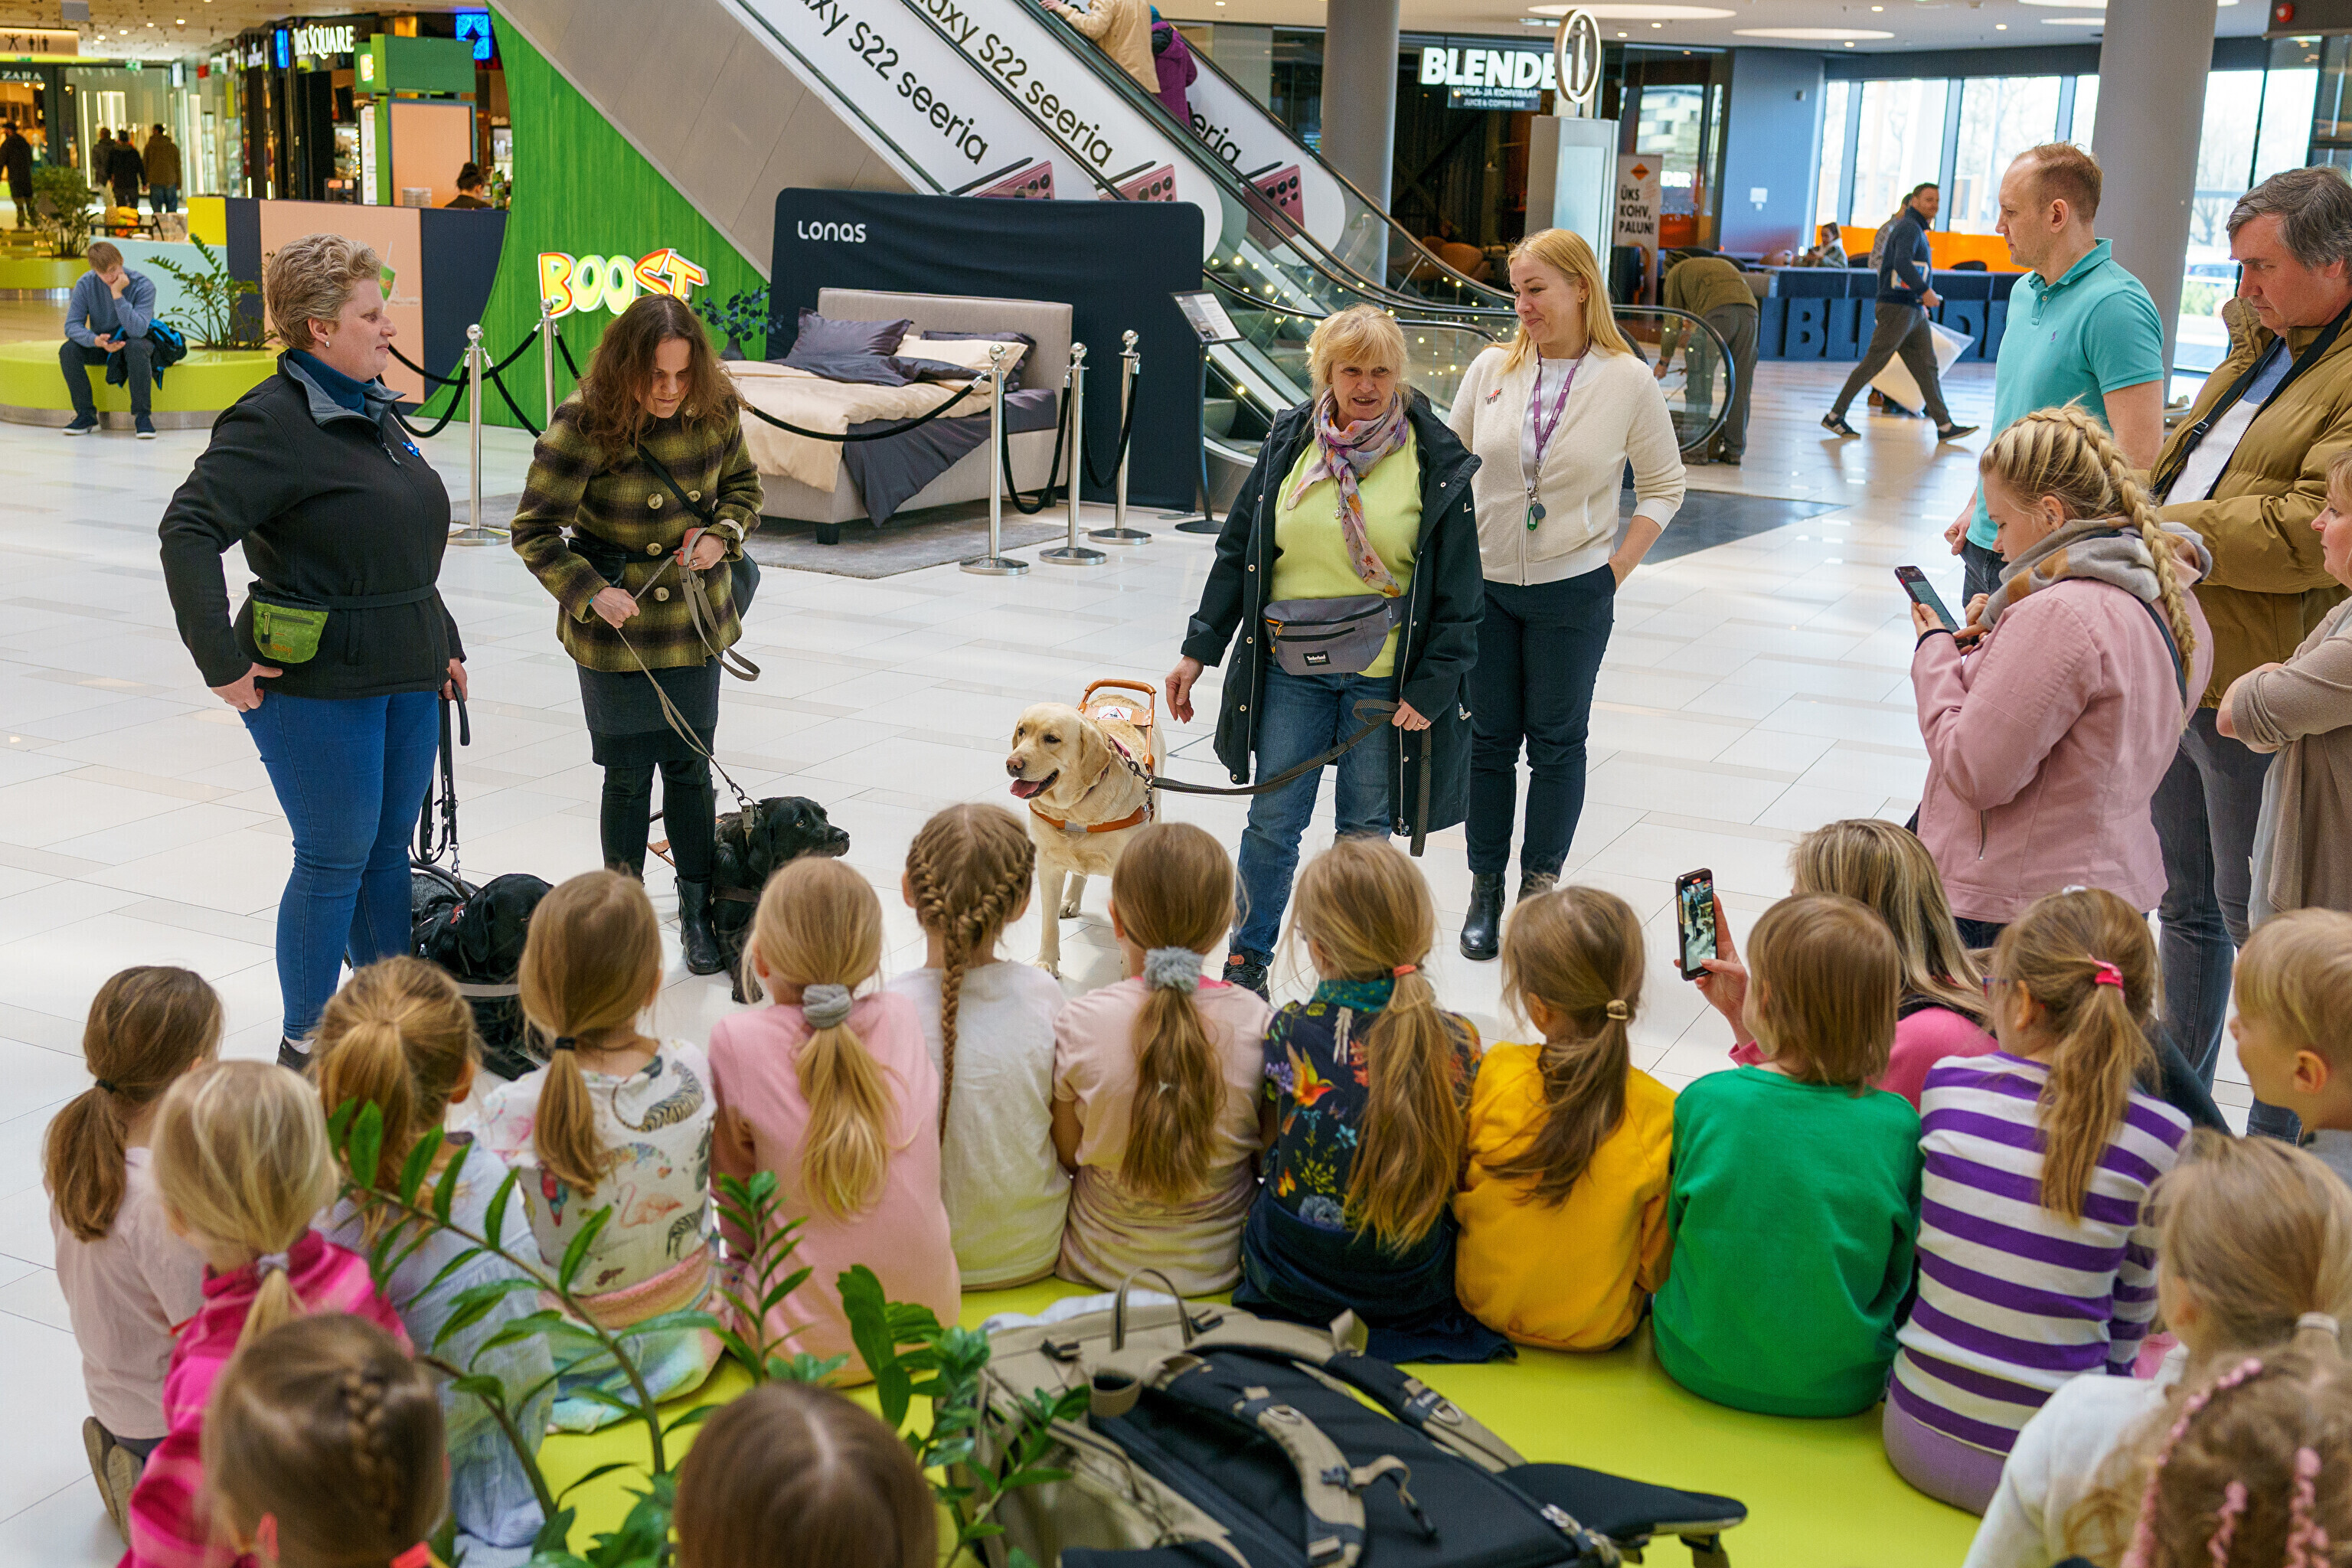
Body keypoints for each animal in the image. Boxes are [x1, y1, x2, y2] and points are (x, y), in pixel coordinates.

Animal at [711, 796, 852, 1002]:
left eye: (824, 816)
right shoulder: (726, 932)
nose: (844, 836)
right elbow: (739, 960)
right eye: (800, 823)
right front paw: (748, 987)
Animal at [1005, 682, 1158, 976]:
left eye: (1051, 739)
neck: (1075, 809)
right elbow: (1049, 924)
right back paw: (1070, 901)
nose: (1012, 764)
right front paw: (1047, 962)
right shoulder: (1048, 865)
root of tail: (1120, 697)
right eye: (1022, 731)